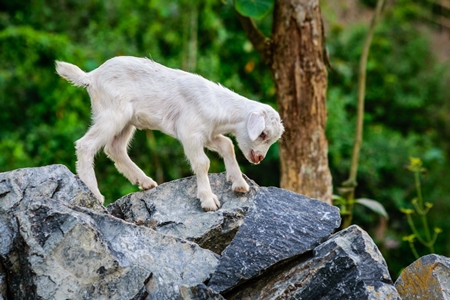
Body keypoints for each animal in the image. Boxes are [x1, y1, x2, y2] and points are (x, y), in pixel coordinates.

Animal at [54, 56, 284, 211]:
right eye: (263, 134)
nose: (259, 158)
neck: (218, 105)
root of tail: (91, 76)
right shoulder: (190, 133)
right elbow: (202, 163)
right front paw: (208, 200)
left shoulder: (208, 134)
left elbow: (227, 145)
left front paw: (239, 185)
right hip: (113, 113)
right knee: (86, 145)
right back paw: (94, 193)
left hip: (127, 120)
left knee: (115, 148)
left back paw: (145, 182)